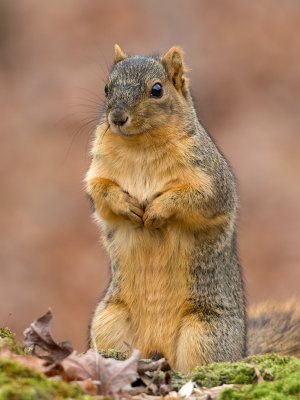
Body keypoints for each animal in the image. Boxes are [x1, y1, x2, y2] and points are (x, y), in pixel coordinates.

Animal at [84, 45, 300, 374]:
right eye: (107, 88)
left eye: (157, 90)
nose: (117, 118)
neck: (140, 146)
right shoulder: (98, 172)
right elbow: (100, 193)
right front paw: (125, 204)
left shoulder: (210, 181)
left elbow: (195, 199)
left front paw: (158, 209)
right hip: (108, 322)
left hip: (205, 333)